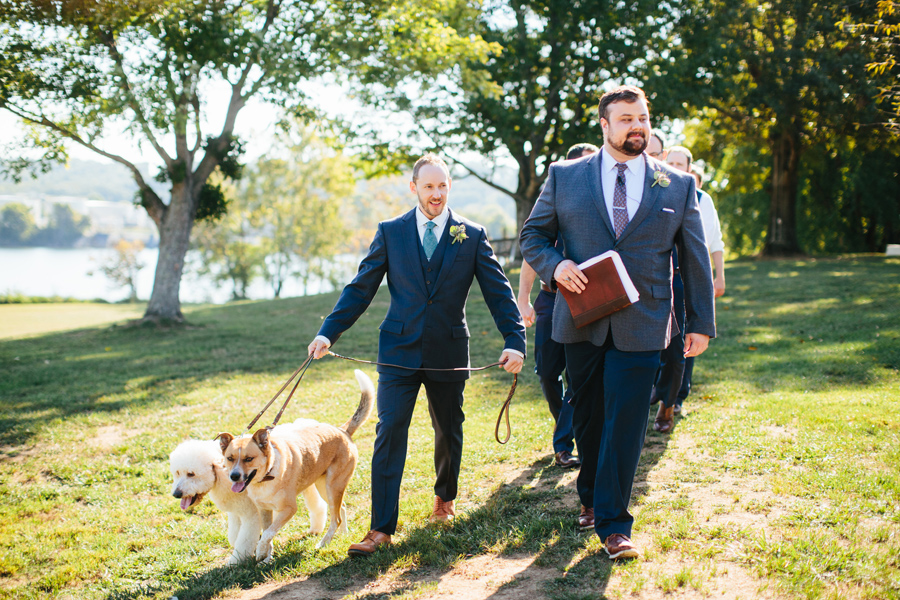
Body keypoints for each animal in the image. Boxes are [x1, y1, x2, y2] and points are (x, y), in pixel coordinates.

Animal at [218, 368, 372, 560]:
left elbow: (267, 534)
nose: (234, 476)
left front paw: (261, 552)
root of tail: (342, 430)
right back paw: (343, 534)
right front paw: (266, 559)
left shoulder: (289, 509)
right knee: (341, 509)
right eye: (230, 458)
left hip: (333, 485)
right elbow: (268, 533)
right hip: (324, 486)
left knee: (336, 518)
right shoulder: (264, 510)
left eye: (248, 459)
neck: (268, 475)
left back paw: (323, 543)